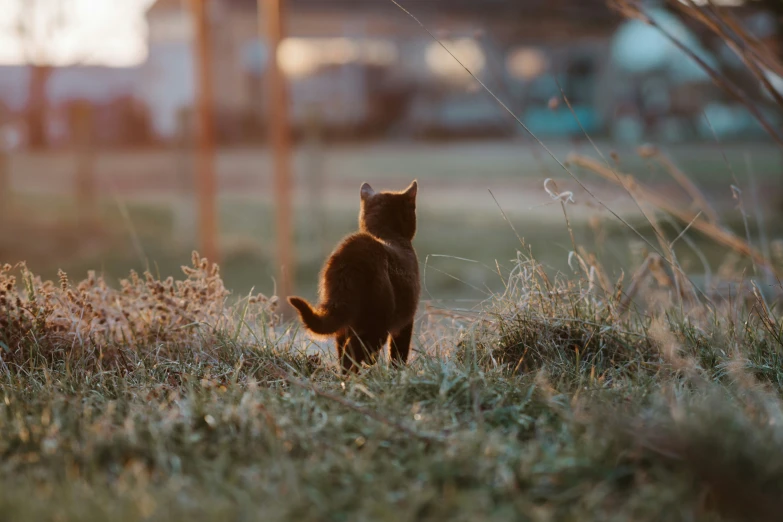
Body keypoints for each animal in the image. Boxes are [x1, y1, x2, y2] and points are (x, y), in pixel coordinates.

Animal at [290, 181, 422, 372]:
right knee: (354, 351)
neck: (387, 234)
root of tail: (350, 255)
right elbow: (398, 353)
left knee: (343, 349)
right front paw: (397, 372)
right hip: (376, 322)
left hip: (343, 317)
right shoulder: (406, 321)